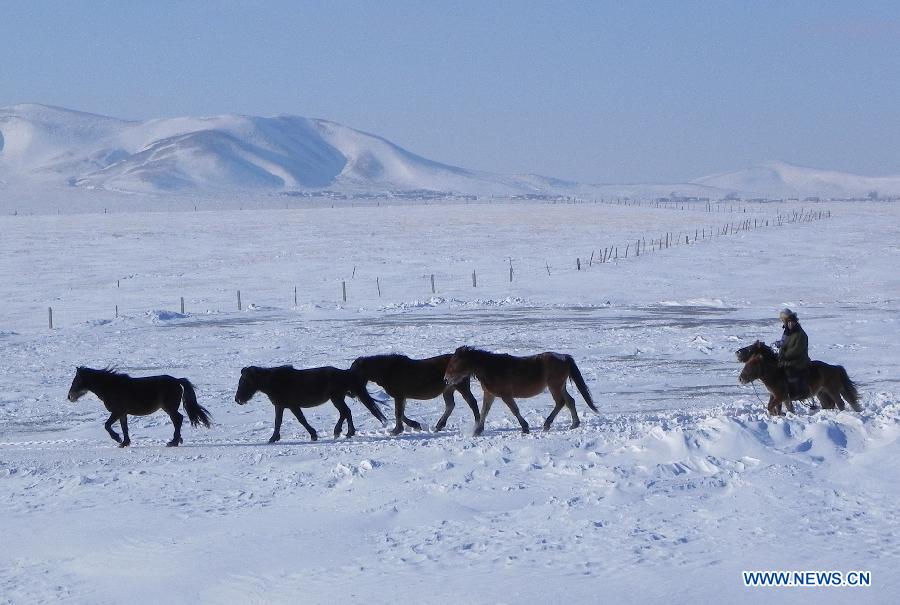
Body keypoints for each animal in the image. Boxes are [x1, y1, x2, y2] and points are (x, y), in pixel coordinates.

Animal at [67, 366, 212, 446]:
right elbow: (124, 428)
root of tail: (177, 381)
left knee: (178, 420)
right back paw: (177, 440)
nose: (69, 397)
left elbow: (107, 425)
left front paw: (118, 439)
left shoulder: (116, 412)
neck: (111, 387)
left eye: (76, 380)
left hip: (170, 408)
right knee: (177, 420)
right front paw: (125, 443)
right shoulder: (122, 414)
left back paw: (174, 442)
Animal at [232, 364, 386, 444]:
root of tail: (346, 373)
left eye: (245, 382)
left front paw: (313, 435)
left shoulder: (291, 406)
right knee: (346, 412)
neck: (275, 382)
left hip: (336, 398)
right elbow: (279, 421)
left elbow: (300, 420)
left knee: (345, 412)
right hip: (337, 398)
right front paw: (275, 438)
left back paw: (342, 432)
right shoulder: (282, 406)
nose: (238, 400)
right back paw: (346, 432)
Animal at [348, 354, 482, 434]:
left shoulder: (399, 395)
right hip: (448, 390)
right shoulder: (401, 397)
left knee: (472, 403)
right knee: (450, 405)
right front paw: (415, 425)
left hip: (461, 387)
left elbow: (398, 413)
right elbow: (401, 413)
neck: (388, 371)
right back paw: (439, 426)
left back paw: (477, 427)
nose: (350, 394)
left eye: (355, 373)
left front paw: (396, 430)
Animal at [442, 346, 596, 436]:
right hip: (560, 386)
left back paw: (547, 424)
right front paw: (477, 430)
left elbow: (514, 410)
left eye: (455, 362)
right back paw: (574, 424)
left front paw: (525, 427)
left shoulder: (505, 395)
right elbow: (484, 411)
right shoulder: (489, 394)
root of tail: (564, 357)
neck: (491, 368)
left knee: (561, 402)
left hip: (555, 386)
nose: (445, 379)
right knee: (569, 401)